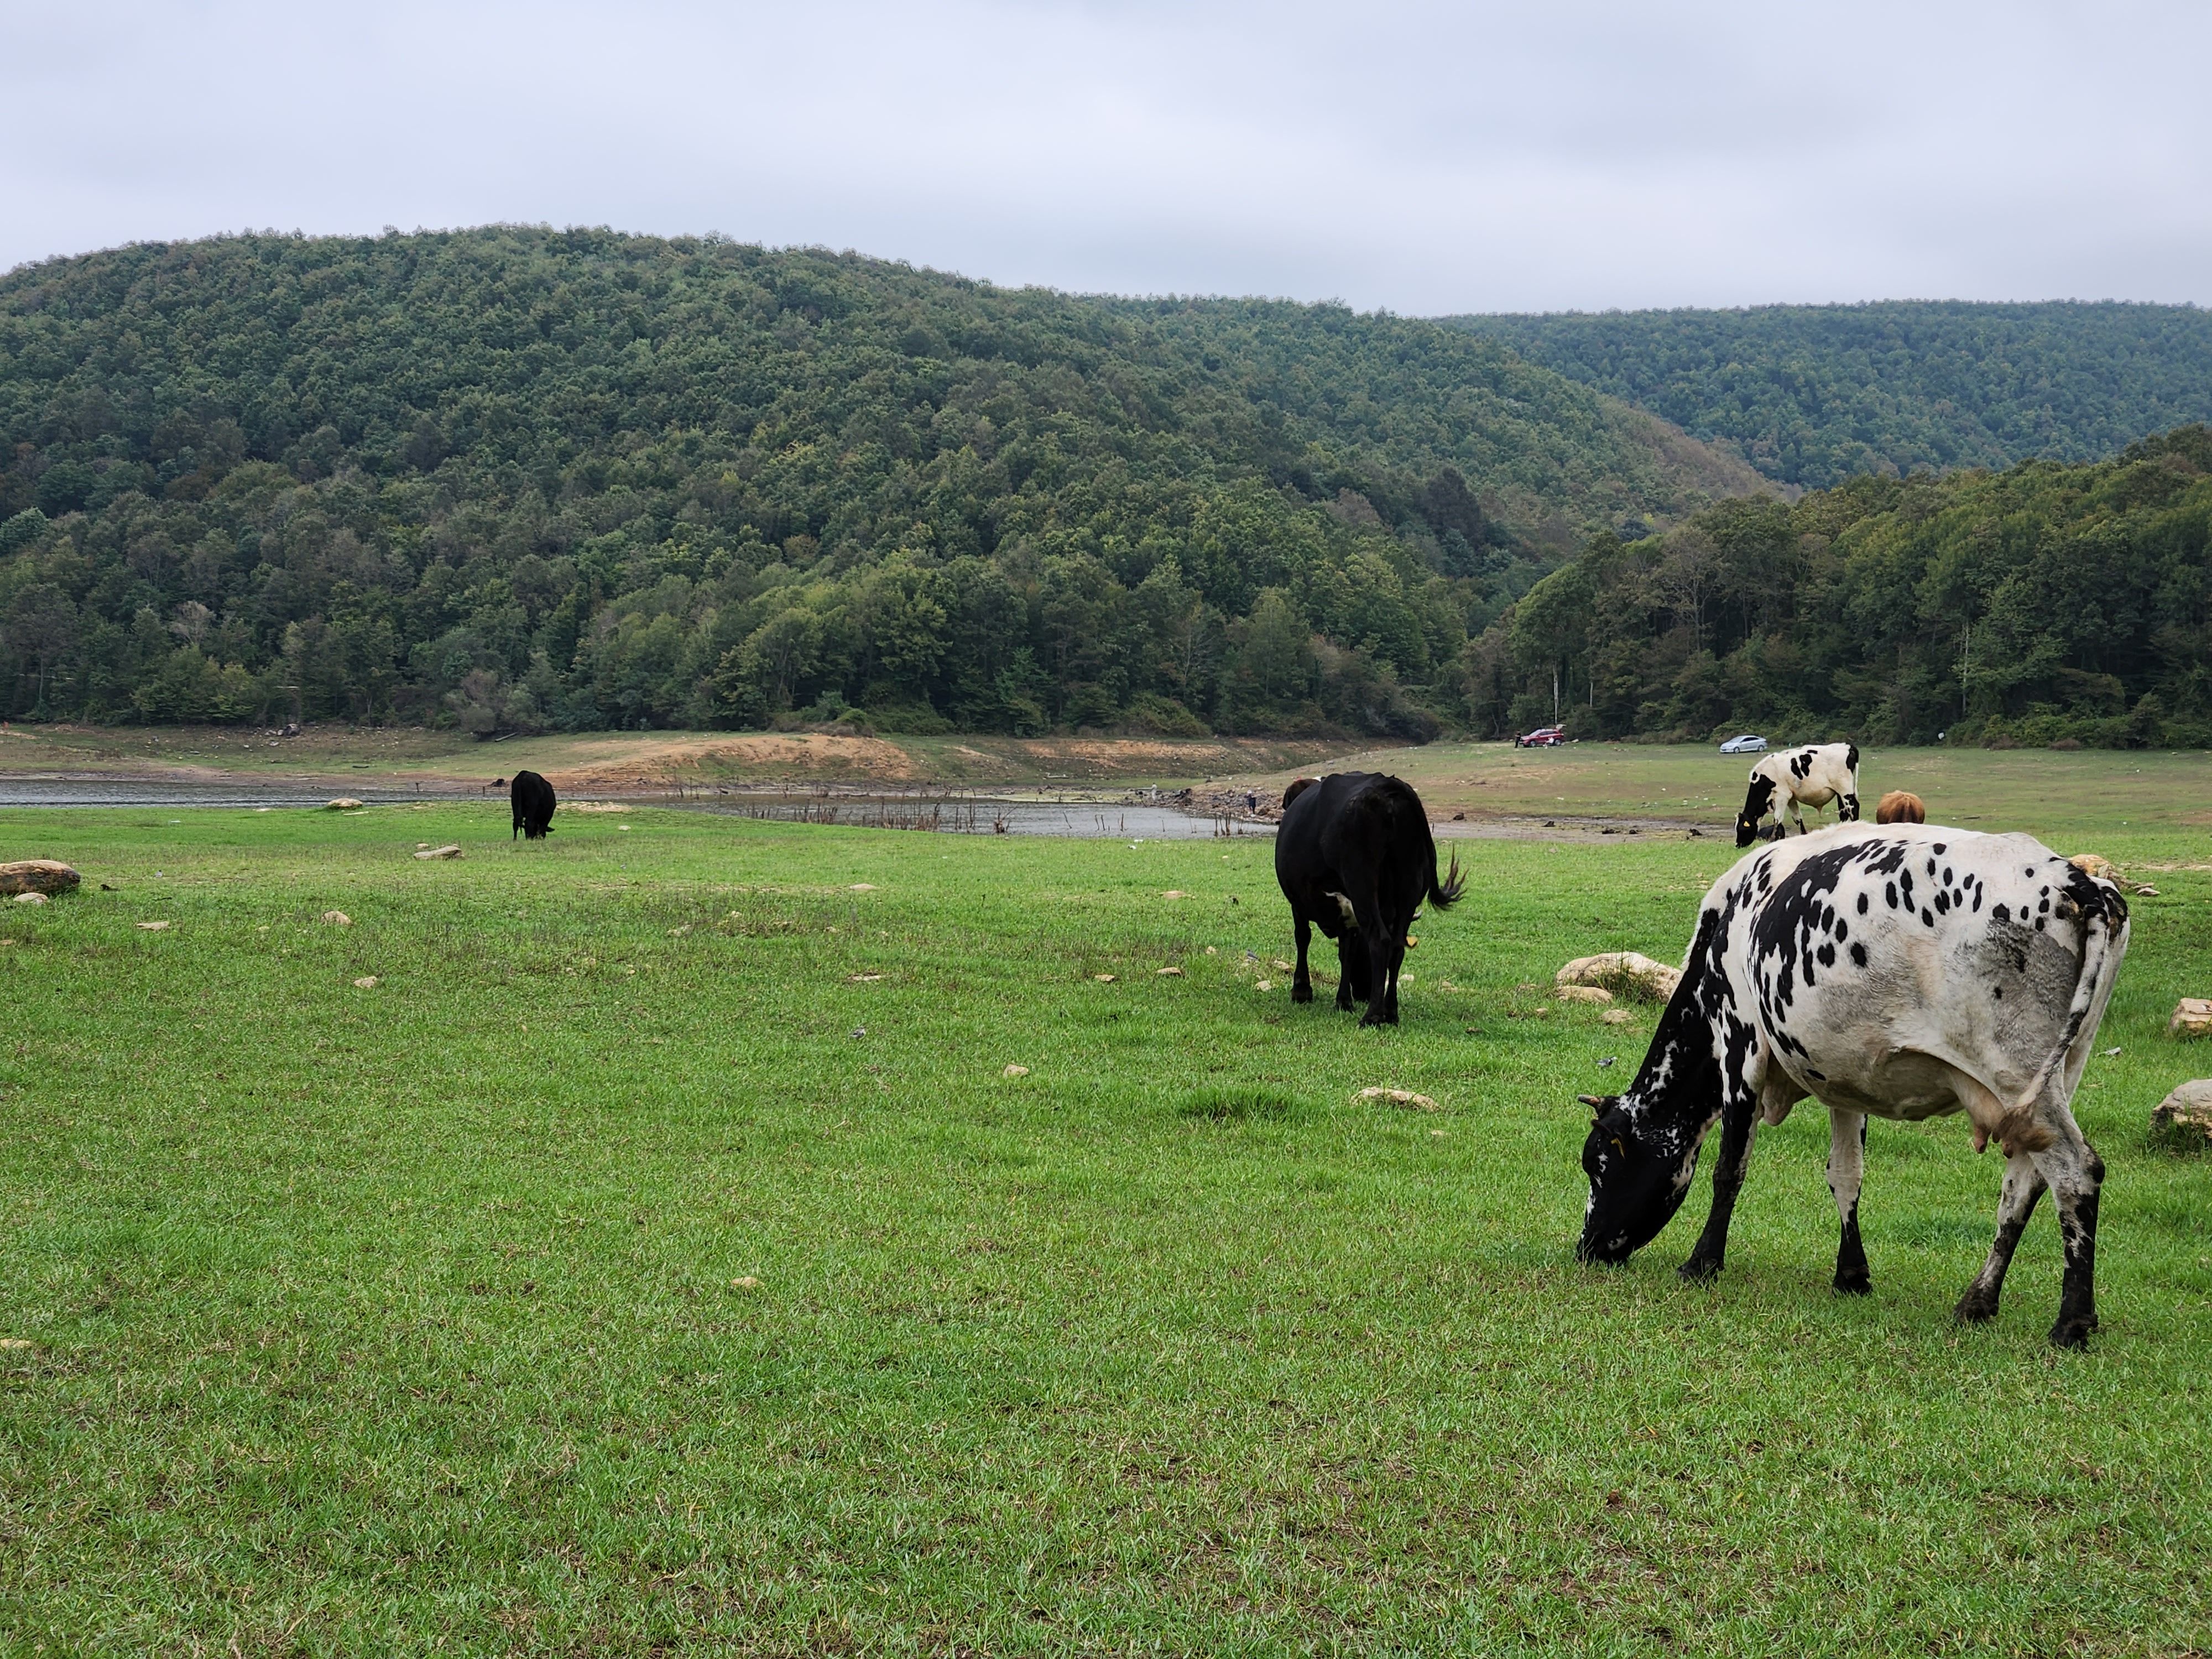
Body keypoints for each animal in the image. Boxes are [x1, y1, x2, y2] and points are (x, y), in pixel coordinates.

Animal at [1274, 779, 1460, 1026]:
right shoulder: (1348, 917)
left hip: (1362, 888)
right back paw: (1390, 1011)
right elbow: (1347, 953)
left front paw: (1302, 990)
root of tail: (1388, 786)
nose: (1364, 991)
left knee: (1380, 941)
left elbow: (1303, 938)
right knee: (1397, 947)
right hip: (1408, 891)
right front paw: (1343, 1001)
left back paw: (1372, 1015)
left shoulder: (1300, 902)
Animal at [1575, 823, 2124, 1354]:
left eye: (1599, 1164)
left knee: (2076, 1170)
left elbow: (1729, 1168)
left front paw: (1702, 1262)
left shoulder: (1740, 1046)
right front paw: (1851, 1274)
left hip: (2015, 1068)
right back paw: (1979, 1301)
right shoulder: (1843, 1078)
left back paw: (2071, 1322)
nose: (1585, 1248)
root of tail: (2076, 880)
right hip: (2057, 1074)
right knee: (2024, 1184)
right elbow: (1846, 1175)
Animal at [1734, 743, 1858, 849]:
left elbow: (1777, 819)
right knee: (1844, 813)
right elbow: (1797, 819)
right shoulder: (1791, 798)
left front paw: (1773, 840)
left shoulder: (1782, 796)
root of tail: (1847, 746)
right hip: (1840, 792)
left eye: (1742, 828)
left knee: (1853, 808)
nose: (1738, 845)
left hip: (1845, 789)